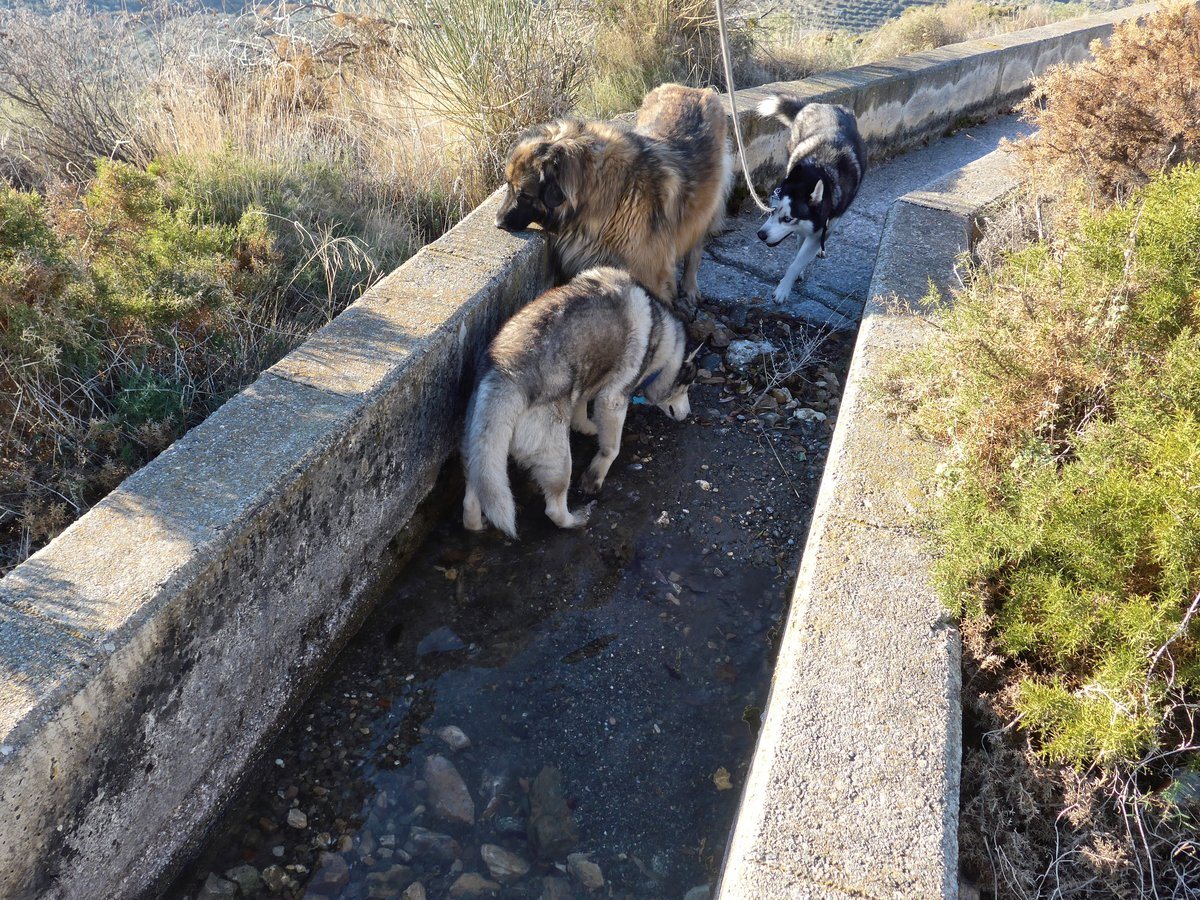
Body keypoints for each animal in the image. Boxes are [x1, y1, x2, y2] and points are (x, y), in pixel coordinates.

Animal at [494, 84, 729, 316]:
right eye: (507, 185)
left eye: (524, 194)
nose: (498, 223)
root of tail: (696, 89)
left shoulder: (651, 275)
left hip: (704, 210)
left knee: (695, 250)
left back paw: (690, 288)